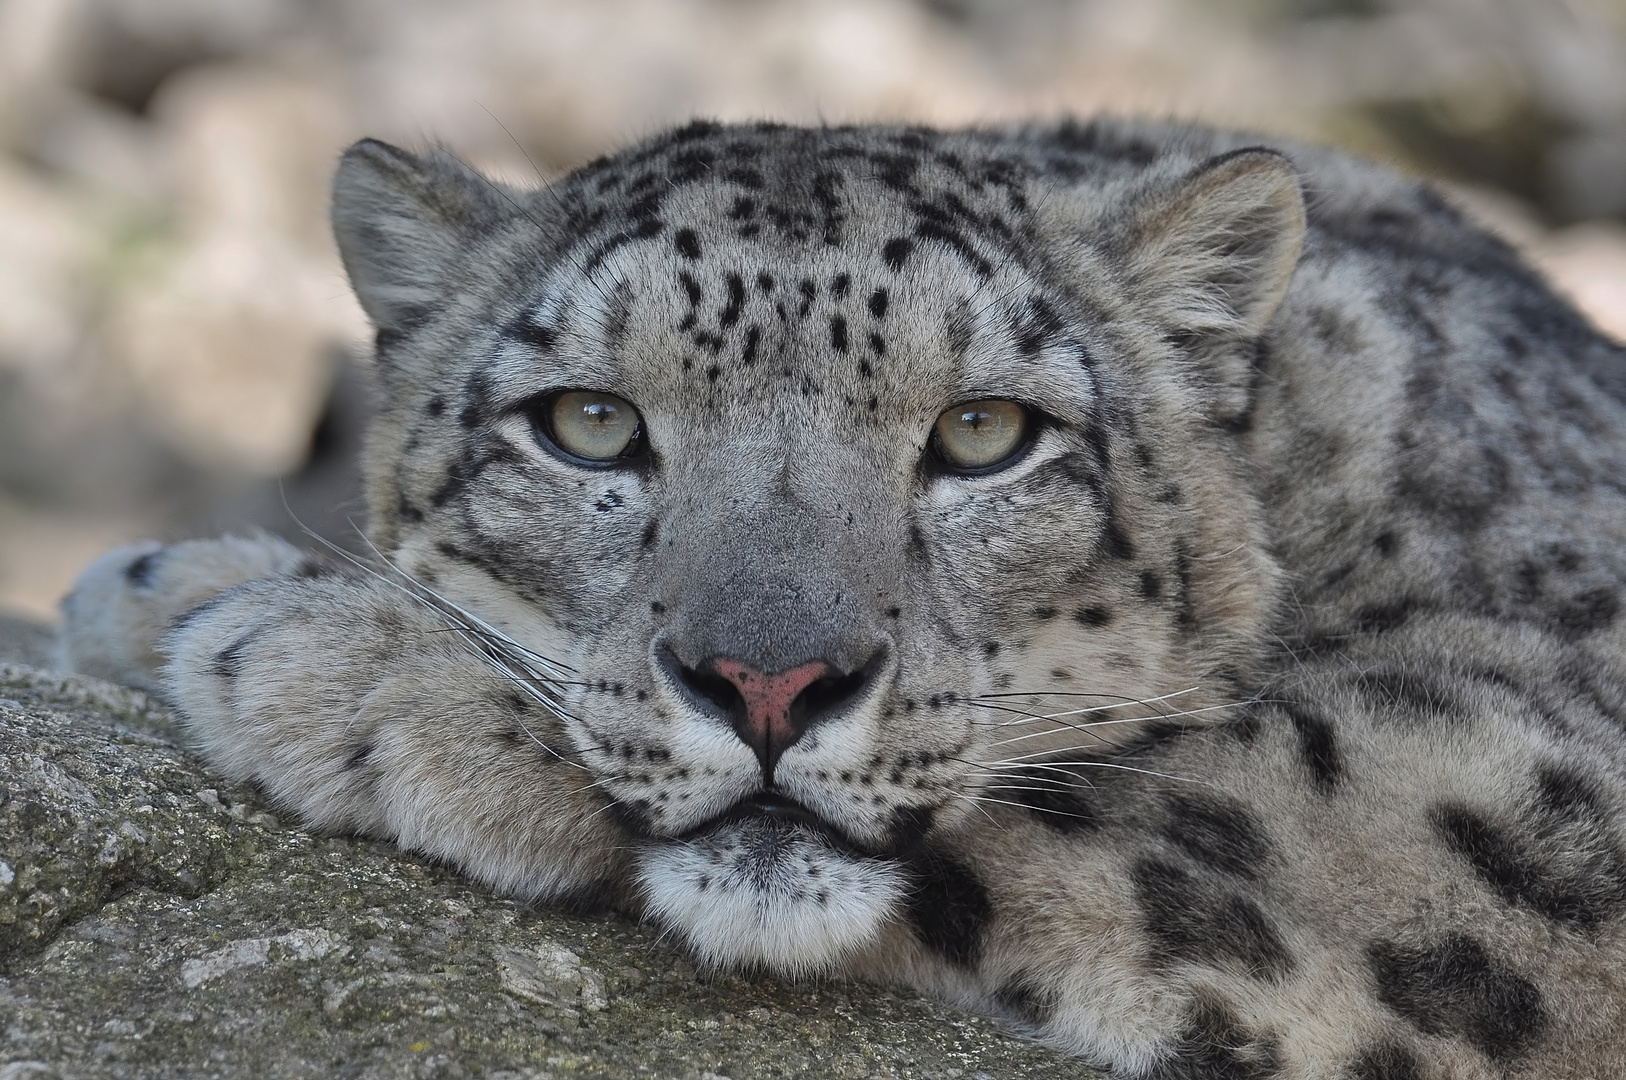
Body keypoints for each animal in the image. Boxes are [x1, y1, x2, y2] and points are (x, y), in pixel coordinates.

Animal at [57, 120, 1626, 1080]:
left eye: (986, 433)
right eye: (587, 423)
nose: (769, 684)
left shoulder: (1506, 790)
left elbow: (1145, 792)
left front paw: (302, 641)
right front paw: (171, 591)